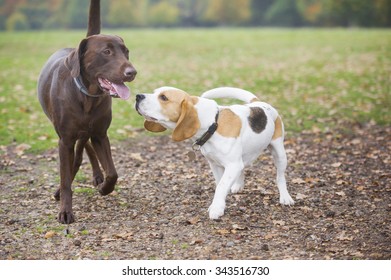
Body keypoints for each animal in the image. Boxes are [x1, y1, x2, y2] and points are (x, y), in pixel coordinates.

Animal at [37, 0, 138, 223]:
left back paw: (97, 176)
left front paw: (105, 188)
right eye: (107, 52)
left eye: (126, 51)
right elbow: (65, 178)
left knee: (83, 151)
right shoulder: (65, 140)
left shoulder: (100, 134)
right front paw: (66, 210)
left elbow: (112, 173)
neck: (87, 97)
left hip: (88, 132)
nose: (132, 72)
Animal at [136, 86, 294, 220]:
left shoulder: (232, 165)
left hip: (279, 153)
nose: (138, 96)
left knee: (280, 177)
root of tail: (259, 103)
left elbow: (222, 186)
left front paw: (216, 208)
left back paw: (285, 197)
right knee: (243, 169)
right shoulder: (215, 164)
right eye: (155, 92)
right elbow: (220, 184)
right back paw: (238, 185)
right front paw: (220, 203)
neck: (213, 124)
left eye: (163, 97)